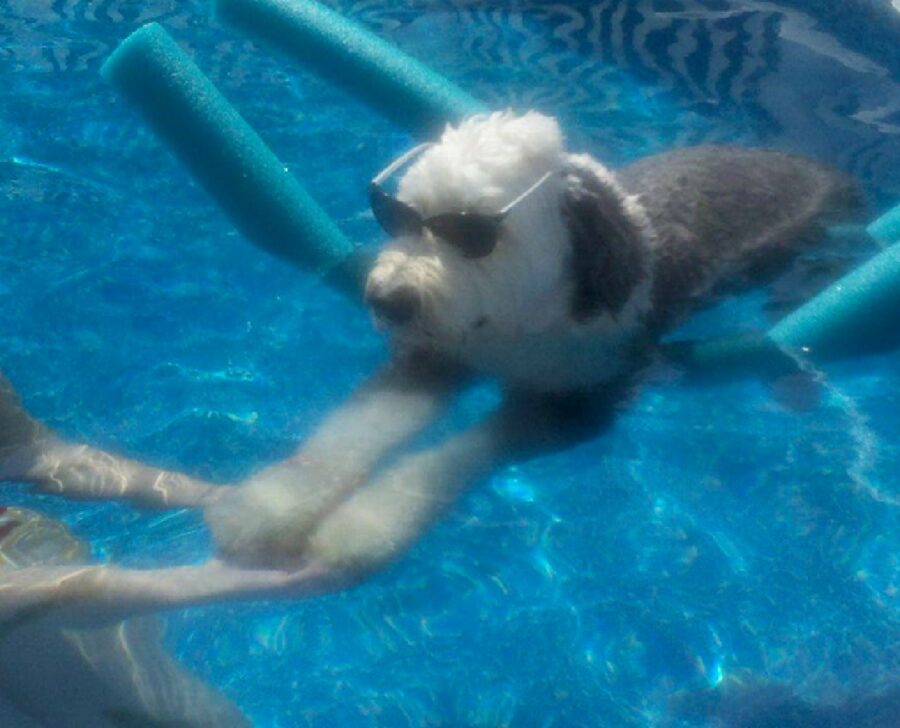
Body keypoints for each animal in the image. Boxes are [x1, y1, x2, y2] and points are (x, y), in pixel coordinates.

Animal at [0, 109, 864, 620]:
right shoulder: (433, 356)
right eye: (402, 218)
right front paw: (273, 506)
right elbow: (356, 430)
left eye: (474, 233)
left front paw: (360, 528)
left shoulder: (575, 402)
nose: (386, 296)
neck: (522, 322)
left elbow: (454, 458)